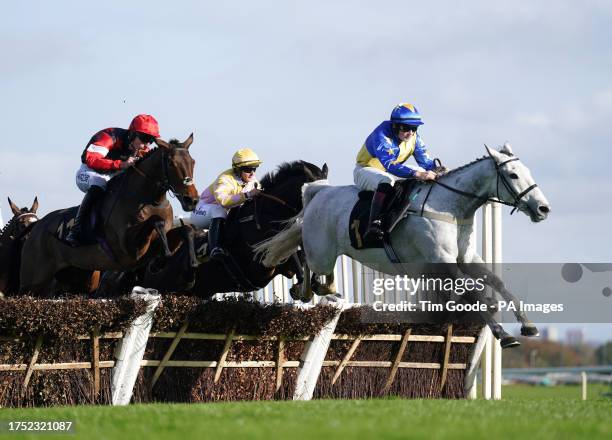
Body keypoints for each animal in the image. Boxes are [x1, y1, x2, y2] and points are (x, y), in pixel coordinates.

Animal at [19, 136, 198, 298]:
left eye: (193, 162)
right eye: (172, 163)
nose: (192, 200)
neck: (150, 201)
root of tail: (37, 226)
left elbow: (186, 230)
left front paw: (189, 268)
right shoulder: (129, 250)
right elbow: (156, 221)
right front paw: (162, 259)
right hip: (32, 281)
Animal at [97, 160, 328, 298]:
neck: (264, 215)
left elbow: (299, 256)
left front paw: (312, 284)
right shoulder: (259, 263)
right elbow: (291, 256)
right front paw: (304, 287)